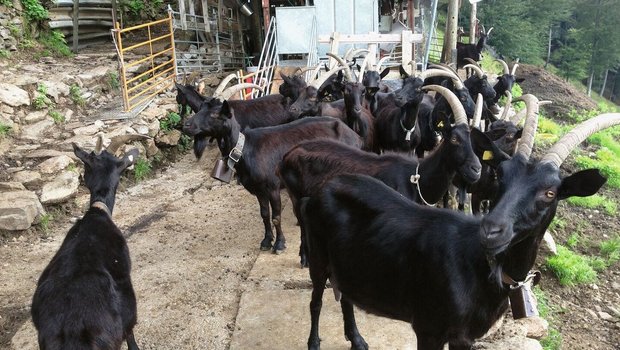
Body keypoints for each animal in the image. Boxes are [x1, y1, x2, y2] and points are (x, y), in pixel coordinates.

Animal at [182, 100, 360, 253]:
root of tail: (353, 135)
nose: (185, 125)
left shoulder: (273, 186)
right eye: (199, 110)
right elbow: (265, 215)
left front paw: (279, 244)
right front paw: (266, 241)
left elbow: (276, 217)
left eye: (214, 114)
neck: (245, 149)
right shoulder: (259, 190)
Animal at [300, 97, 616, 350]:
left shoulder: (464, 337)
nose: (491, 230)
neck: (481, 267)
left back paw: (357, 339)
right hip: (318, 256)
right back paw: (314, 342)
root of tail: (325, 188)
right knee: (316, 300)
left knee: (346, 296)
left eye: (550, 193)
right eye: (501, 174)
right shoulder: (428, 328)